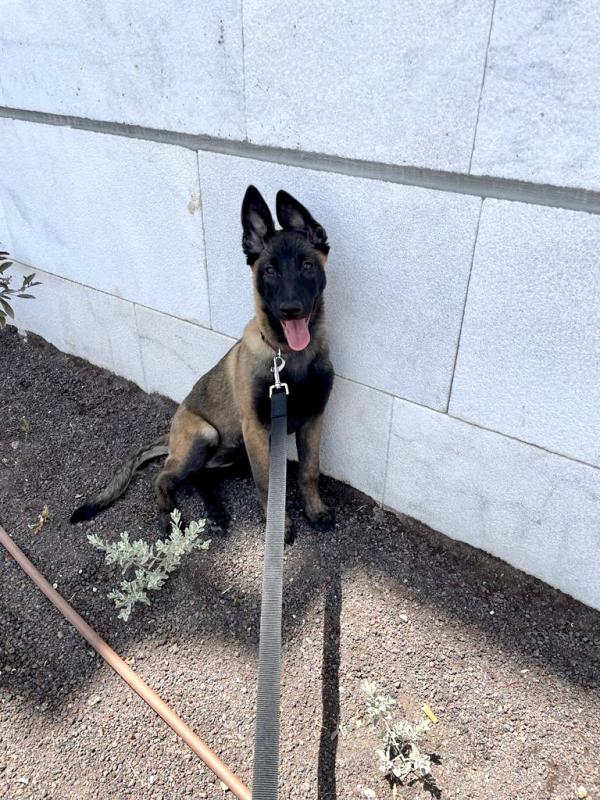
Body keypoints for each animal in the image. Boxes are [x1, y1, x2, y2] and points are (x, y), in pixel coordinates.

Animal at [71, 186, 335, 543]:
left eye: (307, 265)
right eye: (269, 271)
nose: (290, 309)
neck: (288, 357)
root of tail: (171, 437)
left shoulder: (313, 421)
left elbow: (309, 472)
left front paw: (315, 511)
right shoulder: (256, 429)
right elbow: (267, 484)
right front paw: (280, 526)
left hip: (233, 450)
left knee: (202, 476)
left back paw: (216, 512)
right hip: (207, 435)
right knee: (164, 477)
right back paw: (169, 518)